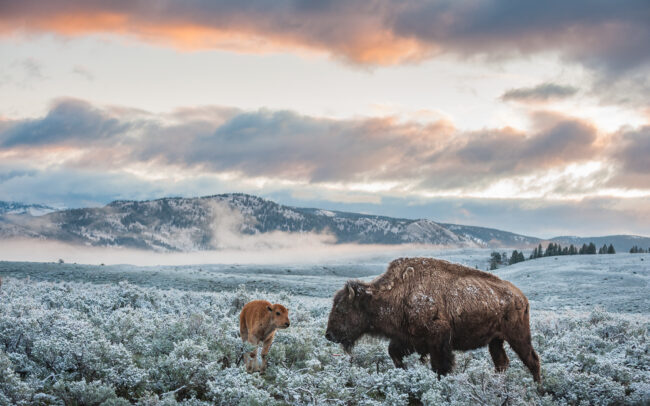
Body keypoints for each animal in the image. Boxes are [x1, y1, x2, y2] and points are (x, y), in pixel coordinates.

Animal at [325, 257, 541, 382]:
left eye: (342, 309)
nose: (329, 335)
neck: (399, 294)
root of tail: (521, 297)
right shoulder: (407, 339)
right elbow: (394, 353)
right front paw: (405, 371)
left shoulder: (438, 341)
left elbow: (440, 367)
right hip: (495, 341)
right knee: (502, 363)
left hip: (518, 336)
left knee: (532, 360)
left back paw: (538, 389)